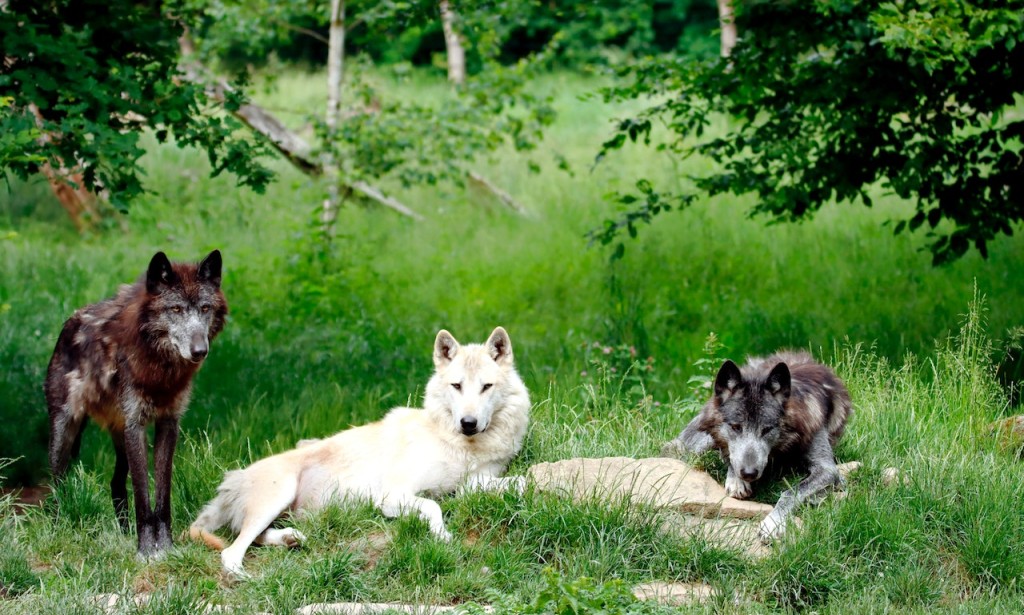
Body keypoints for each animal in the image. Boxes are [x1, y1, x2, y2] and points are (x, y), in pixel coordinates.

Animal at [45, 250, 227, 556]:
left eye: (204, 308)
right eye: (175, 309)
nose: (199, 351)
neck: (160, 369)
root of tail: (68, 323)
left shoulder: (167, 423)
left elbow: (162, 496)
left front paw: (165, 548)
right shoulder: (136, 425)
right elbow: (143, 496)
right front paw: (145, 551)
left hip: (119, 437)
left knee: (116, 483)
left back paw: (124, 534)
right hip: (65, 430)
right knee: (56, 483)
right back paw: (58, 530)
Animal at [189, 326, 530, 576]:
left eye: (486, 387)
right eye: (457, 386)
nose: (468, 423)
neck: (460, 445)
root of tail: (231, 481)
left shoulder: (474, 483)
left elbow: (517, 482)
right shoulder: (392, 496)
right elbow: (433, 506)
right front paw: (442, 535)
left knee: (253, 537)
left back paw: (290, 539)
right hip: (278, 494)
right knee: (231, 552)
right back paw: (245, 576)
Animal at [663, 350, 851, 541]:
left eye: (767, 429)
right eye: (736, 427)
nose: (749, 473)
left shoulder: (826, 468)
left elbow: (791, 492)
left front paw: (774, 522)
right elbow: (731, 457)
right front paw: (736, 481)